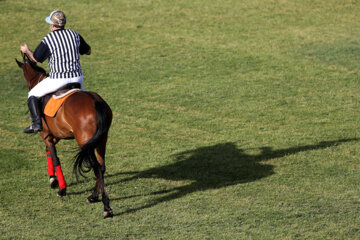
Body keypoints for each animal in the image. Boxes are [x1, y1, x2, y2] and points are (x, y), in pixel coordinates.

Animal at [15, 52, 112, 218]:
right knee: (102, 166)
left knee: (97, 168)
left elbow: (55, 159)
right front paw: (52, 180)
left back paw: (106, 206)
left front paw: (61, 188)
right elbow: (48, 153)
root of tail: (96, 101)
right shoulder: (54, 135)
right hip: (101, 140)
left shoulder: (46, 136)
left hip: (85, 142)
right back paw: (93, 197)